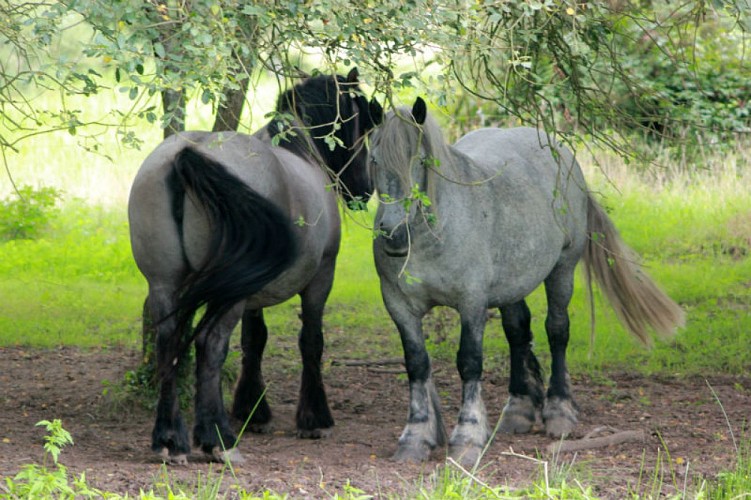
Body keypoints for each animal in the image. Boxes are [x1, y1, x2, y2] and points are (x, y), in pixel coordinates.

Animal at [128, 70, 382, 464]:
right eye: (364, 126)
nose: (364, 191)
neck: (301, 152)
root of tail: (189, 155)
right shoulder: (321, 276)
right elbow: (311, 341)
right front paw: (314, 418)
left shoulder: (249, 291)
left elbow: (254, 340)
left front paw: (252, 410)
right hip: (226, 296)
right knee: (210, 345)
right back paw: (218, 439)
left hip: (165, 284)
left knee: (168, 343)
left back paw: (170, 440)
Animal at [370, 96, 688, 464]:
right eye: (374, 160)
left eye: (420, 161)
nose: (393, 233)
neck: (432, 236)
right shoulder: (399, 306)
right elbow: (417, 365)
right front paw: (416, 436)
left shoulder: (472, 302)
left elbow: (469, 362)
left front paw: (468, 436)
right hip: (512, 283)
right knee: (518, 331)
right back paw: (519, 407)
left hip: (562, 270)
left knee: (557, 330)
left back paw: (559, 410)